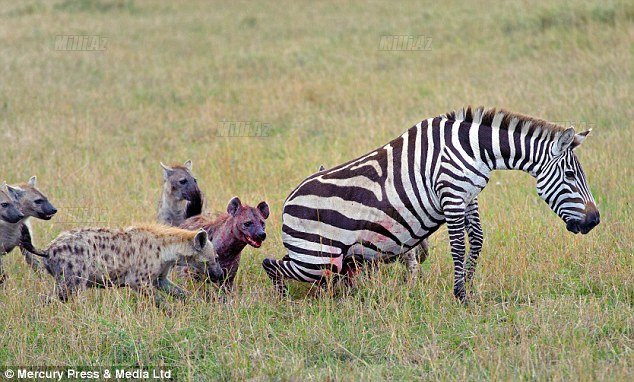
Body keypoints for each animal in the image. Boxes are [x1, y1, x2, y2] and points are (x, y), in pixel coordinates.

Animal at [260, 105, 596, 302]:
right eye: (570, 175)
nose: (594, 221)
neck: (474, 149)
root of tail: (288, 202)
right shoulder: (451, 192)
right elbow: (458, 246)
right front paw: (460, 294)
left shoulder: (468, 195)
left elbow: (477, 240)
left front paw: (468, 285)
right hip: (317, 259)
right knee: (271, 264)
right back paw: (283, 298)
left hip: (324, 258)